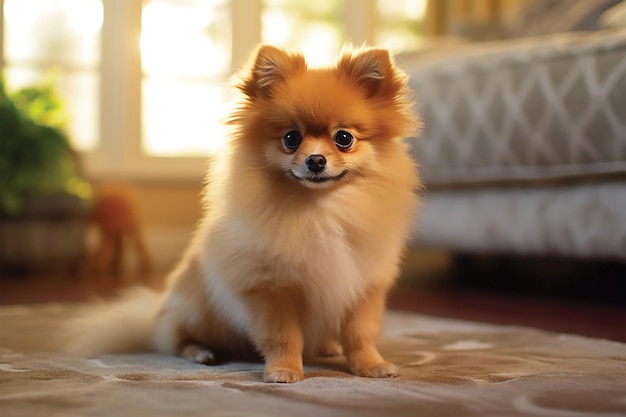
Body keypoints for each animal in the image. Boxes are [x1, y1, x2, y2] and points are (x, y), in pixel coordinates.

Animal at [66, 44, 420, 382]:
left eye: (344, 138)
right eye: (291, 138)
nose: (316, 160)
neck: (319, 212)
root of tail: (154, 318)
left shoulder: (364, 285)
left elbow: (361, 334)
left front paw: (371, 365)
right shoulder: (269, 290)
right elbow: (283, 337)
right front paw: (284, 370)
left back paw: (327, 346)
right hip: (195, 310)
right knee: (178, 340)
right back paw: (201, 353)